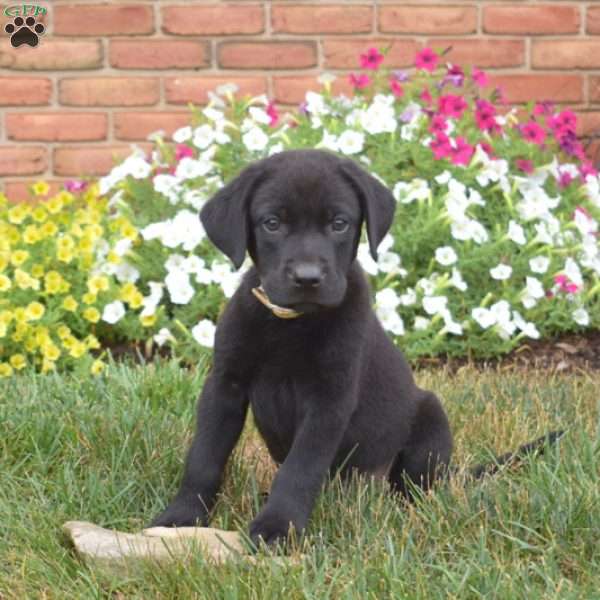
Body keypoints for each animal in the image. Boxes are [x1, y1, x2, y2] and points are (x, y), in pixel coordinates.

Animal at [152, 149, 560, 544]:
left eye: (339, 223)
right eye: (272, 223)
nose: (308, 278)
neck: (293, 324)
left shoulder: (329, 400)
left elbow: (300, 468)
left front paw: (278, 527)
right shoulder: (225, 385)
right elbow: (205, 456)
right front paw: (181, 516)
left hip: (429, 418)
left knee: (418, 488)